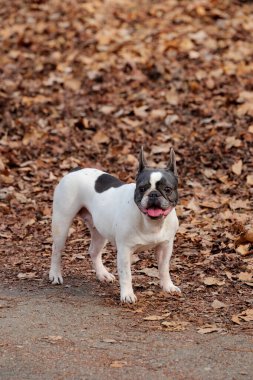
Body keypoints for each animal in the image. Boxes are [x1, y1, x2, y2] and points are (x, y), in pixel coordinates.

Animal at [49, 148, 180, 302]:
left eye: (167, 189)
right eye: (142, 188)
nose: (153, 194)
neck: (151, 222)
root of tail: (75, 170)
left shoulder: (166, 247)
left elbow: (164, 268)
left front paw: (168, 286)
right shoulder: (125, 250)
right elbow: (126, 274)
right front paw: (127, 294)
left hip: (99, 231)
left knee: (94, 251)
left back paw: (102, 274)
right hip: (62, 222)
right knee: (56, 250)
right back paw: (55, 275)